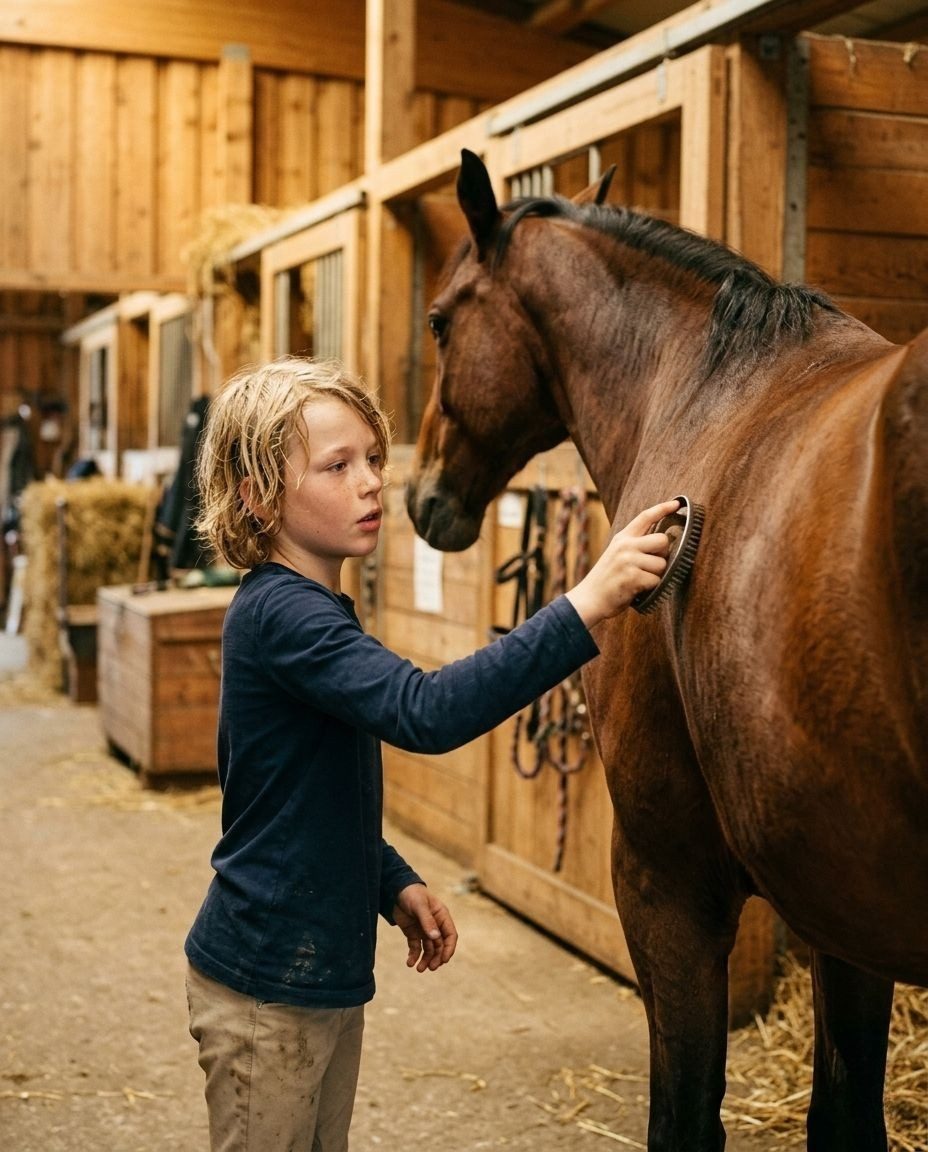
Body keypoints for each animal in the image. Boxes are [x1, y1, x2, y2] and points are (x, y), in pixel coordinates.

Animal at [405, 148, 928, 1152]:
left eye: (442, 320)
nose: (421, 497)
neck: (698, 394)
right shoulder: (842, 911)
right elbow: (843, 1114)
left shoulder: (664, 878)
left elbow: (682, 1116)